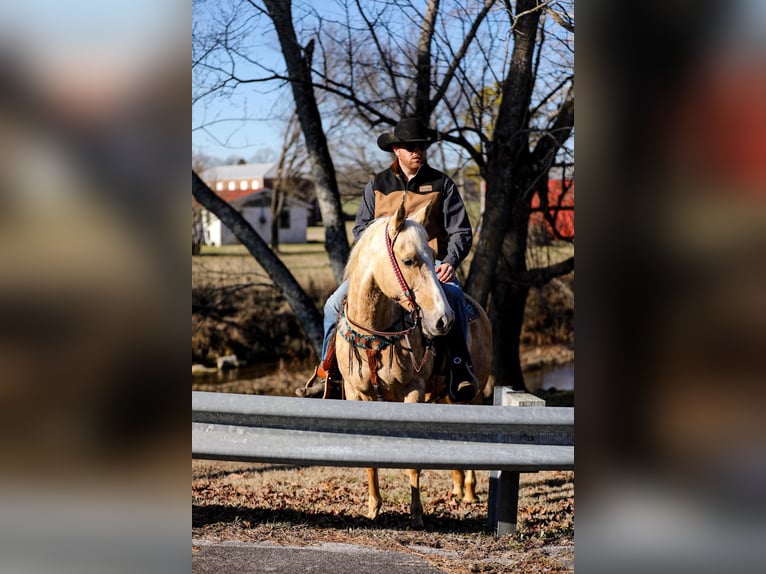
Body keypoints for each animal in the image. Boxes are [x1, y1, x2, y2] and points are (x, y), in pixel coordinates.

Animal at [334, 200, 492, 528]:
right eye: (408, 261)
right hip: (443, 396)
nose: (443, 319)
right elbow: (369, 459)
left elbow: (413, 461)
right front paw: (373, 508)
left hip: (473, 393)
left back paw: (469, 491)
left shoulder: (413, 392)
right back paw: (458, 486)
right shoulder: (357, 395)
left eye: (433, 257)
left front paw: (417, 514)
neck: (376, 333)